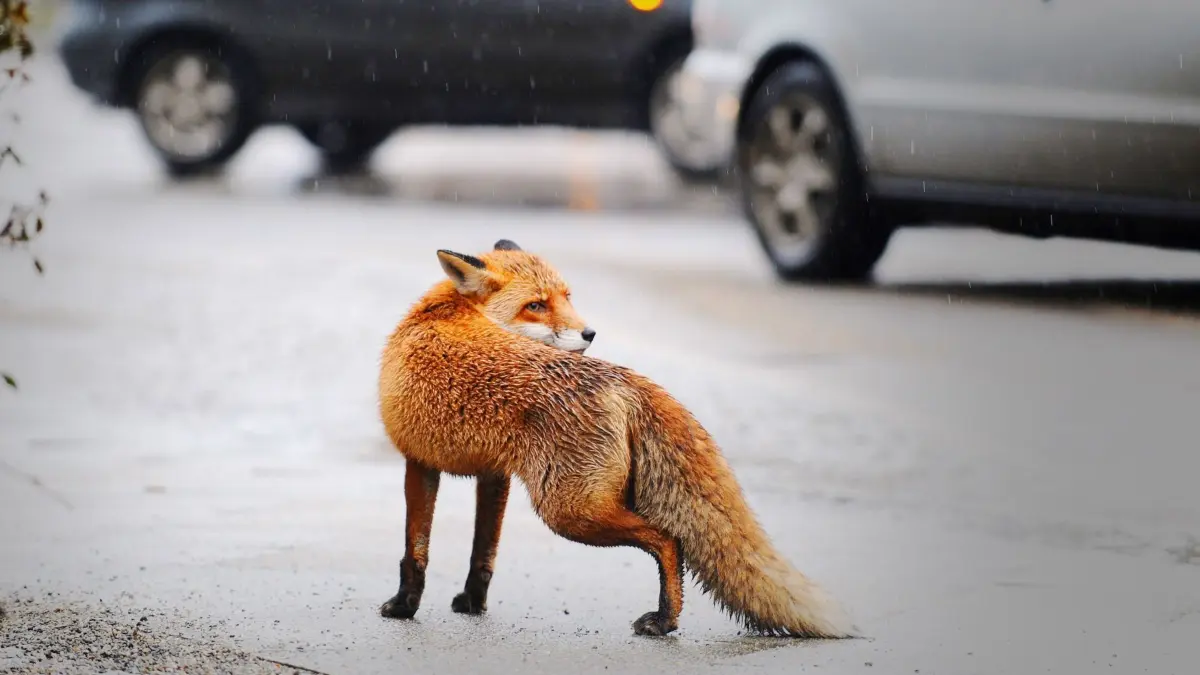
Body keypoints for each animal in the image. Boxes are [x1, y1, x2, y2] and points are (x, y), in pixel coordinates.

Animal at [376, 239, 856, 638]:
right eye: (536, 305)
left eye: (566, 297)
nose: (590, 333)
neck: (447, 311)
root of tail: (623, 377)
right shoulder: (494, 475)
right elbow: (483, 551)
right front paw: (472, 603)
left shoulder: (417, 461)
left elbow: (414, 549)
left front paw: (403, 607)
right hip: (578, 505)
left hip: (569, 511)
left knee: (669, 539)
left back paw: (664, 620)